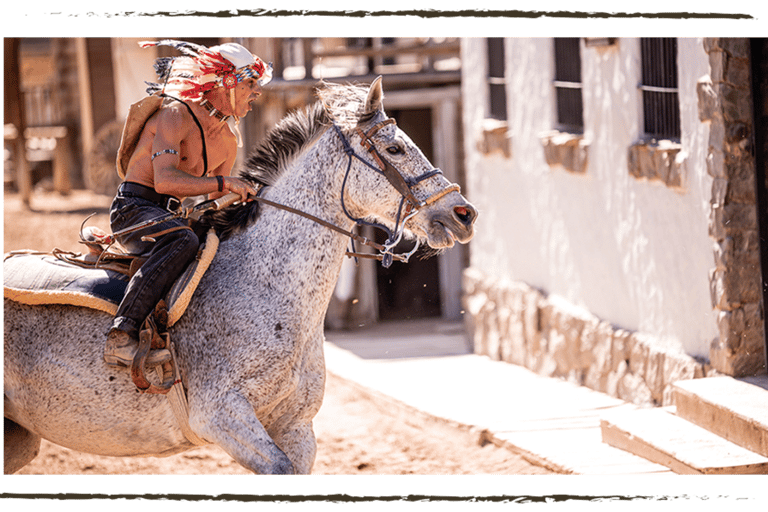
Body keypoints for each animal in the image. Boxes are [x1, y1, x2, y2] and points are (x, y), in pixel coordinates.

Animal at [3, 78, 476, 474]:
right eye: (394, 149)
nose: (463, 213)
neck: (267, 287)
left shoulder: (296, 428)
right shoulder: (222, 415)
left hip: (18, 438)